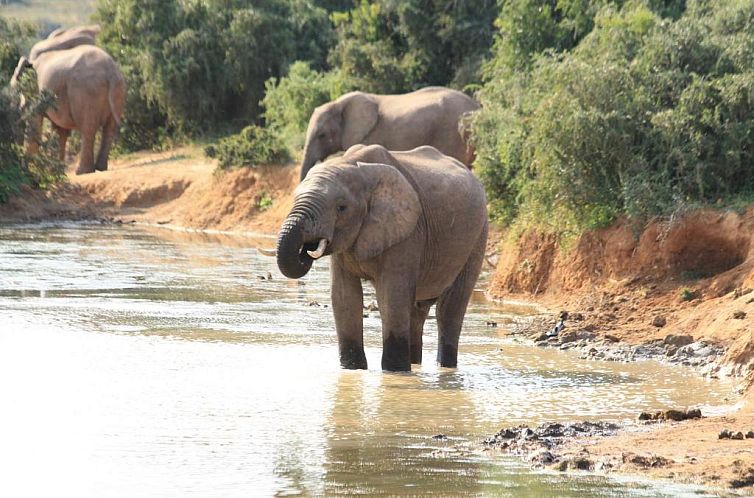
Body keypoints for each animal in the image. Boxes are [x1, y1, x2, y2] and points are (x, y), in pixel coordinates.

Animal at [10, 26, 125, 177]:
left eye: (18, 89)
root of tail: (110, 71)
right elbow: (61, 130)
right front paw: (55, 173)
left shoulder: (36, 91)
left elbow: (35, 122)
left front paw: (30, 172)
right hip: (117, 89)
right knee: (109, 129)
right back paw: (100, 168)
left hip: (86, 91)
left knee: (88, 129)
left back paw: (82, 172)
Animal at [276, 143, 488, 370]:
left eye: (341, 208)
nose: (307, 248)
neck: (354, 166)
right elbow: (344, 296)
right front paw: (352, 369)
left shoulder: (408, 232)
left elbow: (391, 296)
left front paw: (394, 371)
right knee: (417, 311)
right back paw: (415, 363)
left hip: (478, 236)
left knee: (449, 309)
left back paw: (444, 366)